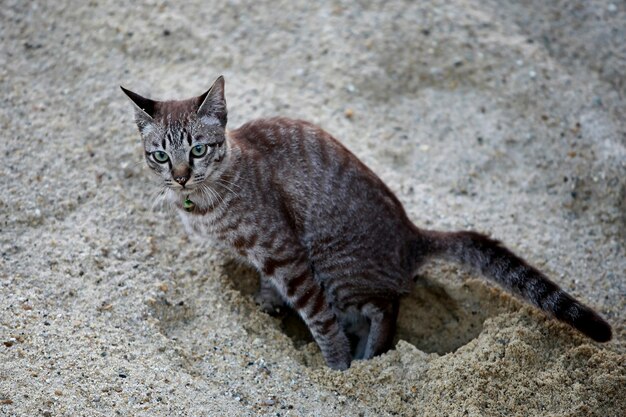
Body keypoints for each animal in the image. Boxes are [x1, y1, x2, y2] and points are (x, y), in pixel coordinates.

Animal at [120, 76, 608, 368]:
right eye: (160, 155)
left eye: (198, 149)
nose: (180, 175)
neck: (206, 198)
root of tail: (413, 235)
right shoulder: (268, 259)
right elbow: (270, 287)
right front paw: (265, 305)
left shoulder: (286, 253)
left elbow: (320, 320)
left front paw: (336, 365)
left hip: (336, 266)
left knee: (385, 308)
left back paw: (369, 357)